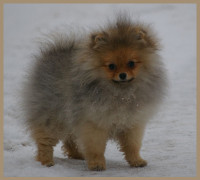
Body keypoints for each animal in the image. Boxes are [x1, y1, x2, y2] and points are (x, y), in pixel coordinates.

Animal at [23, 14, 167, 171]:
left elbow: (132, 146)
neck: (121, 94)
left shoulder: (132, 123)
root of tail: (52, 53)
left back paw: (77, 155)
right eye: (111, 66)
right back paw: (46, 161)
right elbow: (96, 148)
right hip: (52, 117)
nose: (122, 75)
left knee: (69, 139)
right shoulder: (94, 123)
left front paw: (136, 161)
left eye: (131, 63)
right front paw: (97, 164)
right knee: (45, 141)